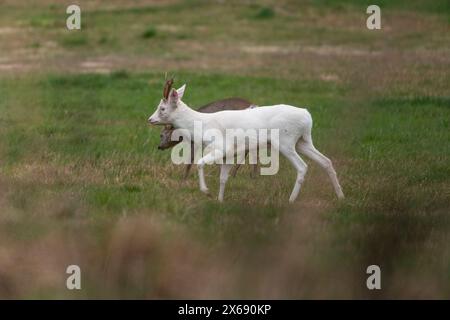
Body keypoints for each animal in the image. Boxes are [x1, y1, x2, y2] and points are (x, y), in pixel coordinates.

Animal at [148, 82, 344, 202]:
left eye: (162, 108)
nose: (150, 119)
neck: (202, 123)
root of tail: (307, 116)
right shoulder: (228, 155)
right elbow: (223, 178)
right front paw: (219, 200)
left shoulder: (221, 147)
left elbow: (200, 163)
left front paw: (206, 191)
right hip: (302, 142)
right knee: (326, 161)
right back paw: (341, 196)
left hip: (285, 142)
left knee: (303, 166)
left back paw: (291, 200)